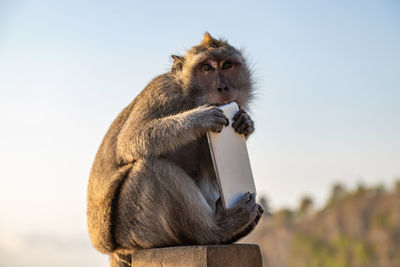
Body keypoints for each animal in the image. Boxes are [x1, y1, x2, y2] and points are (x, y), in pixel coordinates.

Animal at [86, 32, 264, 266]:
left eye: (227, 65)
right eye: (206, 68)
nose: (223, 87)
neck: (190, 98)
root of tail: (115, 250)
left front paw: (246, 124)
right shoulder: (162, 92)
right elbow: (129, 141)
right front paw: (199, 118)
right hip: (137, 231)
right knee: (150, 168)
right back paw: (217, 231)